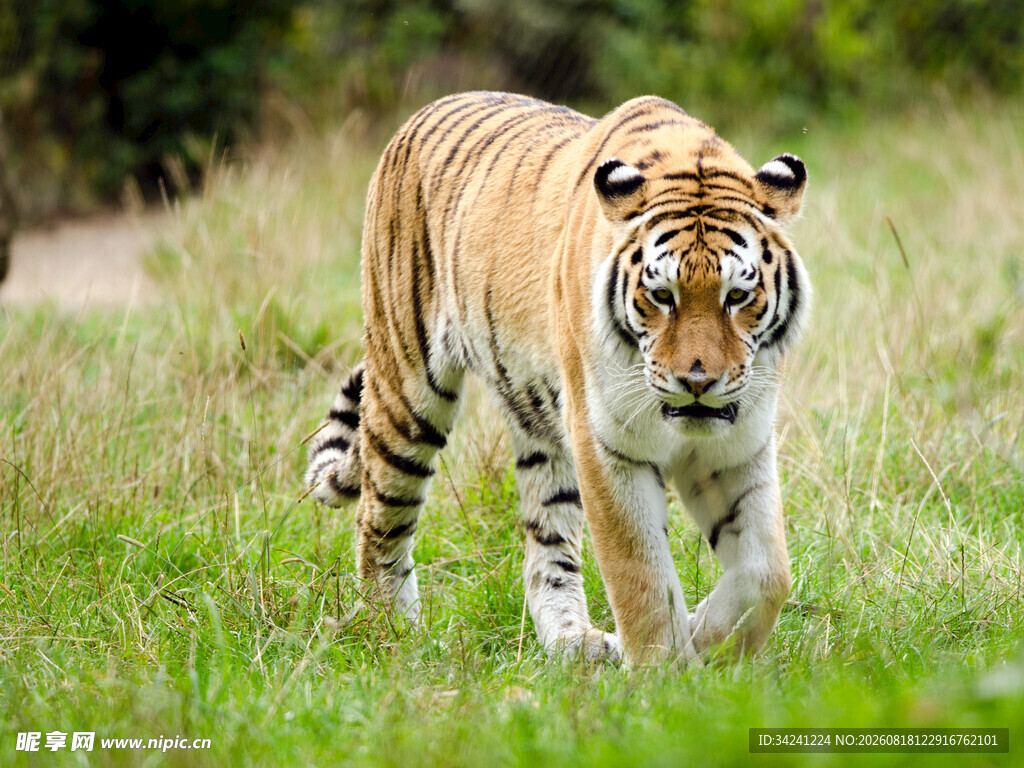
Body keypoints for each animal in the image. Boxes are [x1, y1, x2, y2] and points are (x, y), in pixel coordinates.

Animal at [305, 91, 809, 663]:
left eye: (738, 296)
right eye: (662, 296)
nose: (697, 383)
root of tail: (419, 116)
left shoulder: (738, 445)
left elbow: (765, 573)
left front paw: (704, 636)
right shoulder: (606, 447)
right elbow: (641, 578)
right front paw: (666, 671)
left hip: (541, 430)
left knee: (545, 551)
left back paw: (575, 644)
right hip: (408, 395)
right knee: (379, 518)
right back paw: (394, 636)